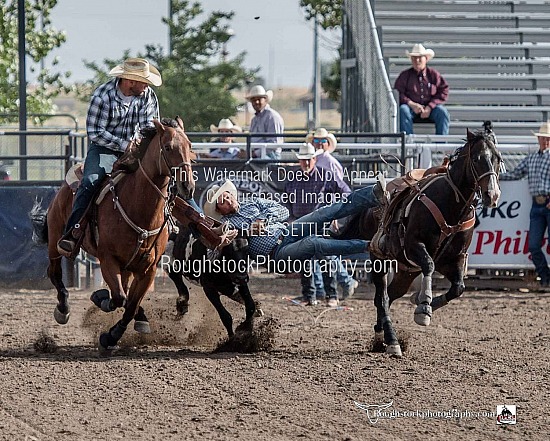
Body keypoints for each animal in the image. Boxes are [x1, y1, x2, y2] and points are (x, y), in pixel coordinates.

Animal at [31, 117, 196, 350]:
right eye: (168, 147)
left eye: (189, 146)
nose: (187, 186)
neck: (138, 207)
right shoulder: (108, 259)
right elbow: (118, 297)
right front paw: (100, 299)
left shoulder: (148, 269)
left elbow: (131, 303)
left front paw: (113, 335)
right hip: (56, 240)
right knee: (54, 272)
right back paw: (63, 309)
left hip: (128, 266)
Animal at [338, 127, 502, 354]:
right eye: (477, 159)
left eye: (498, 159)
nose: (492, 195)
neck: (451, 205)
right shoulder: (414, 246)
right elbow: (429, 265)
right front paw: (424, 307)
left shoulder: (455, 258)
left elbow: (458, 287)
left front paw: (424, 303)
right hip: (379, 259)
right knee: (383, 297)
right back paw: (391, 340)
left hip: (406, 271)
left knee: (389, 296)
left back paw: (381, 335)